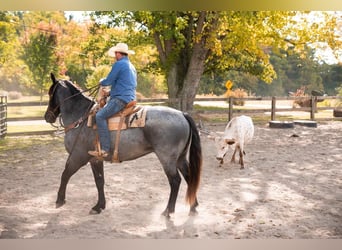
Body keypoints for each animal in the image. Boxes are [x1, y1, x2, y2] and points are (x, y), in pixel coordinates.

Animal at [44, 73, 202, 217]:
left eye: (51, 93)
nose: (47, 117)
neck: (81, 117)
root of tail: (182, 114)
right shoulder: (95, 159)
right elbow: (99, 181)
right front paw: (99, 206)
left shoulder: (78, 156)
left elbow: (65, 174)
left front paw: (59, 200)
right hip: (180, 158)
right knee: (189, 177)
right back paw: (193, 207)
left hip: (167, 159)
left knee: (175, 181)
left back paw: (168, 210)